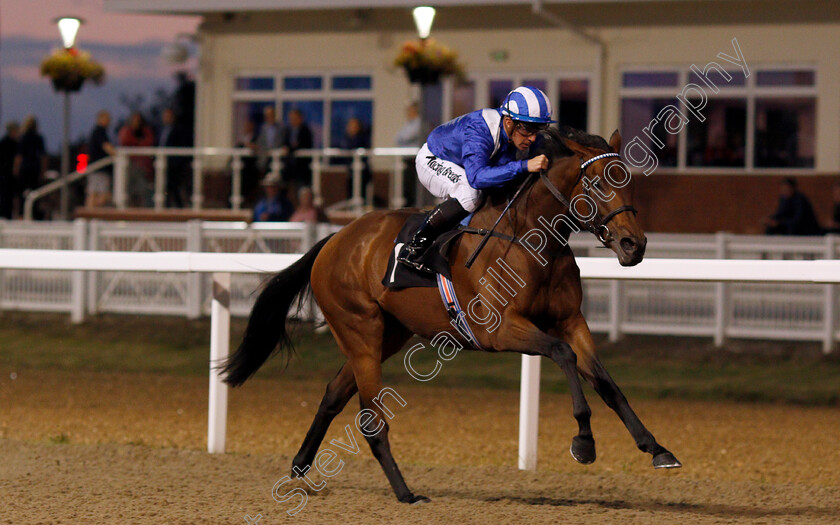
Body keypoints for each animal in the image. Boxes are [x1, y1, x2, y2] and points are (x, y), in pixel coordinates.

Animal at [223, 125, 684, 502]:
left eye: (628, 181)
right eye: (597, 181)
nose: (634, 245)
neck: (534, 242)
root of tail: (334, 239)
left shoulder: (572, 321)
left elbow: (607, 383)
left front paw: (658, 448)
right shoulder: (501, 330)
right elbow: (563, 355)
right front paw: (584, 442)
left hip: (388, 335)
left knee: (334, 394)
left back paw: (300, 466)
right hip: (360, 332)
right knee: (371, 419)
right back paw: (405, 493)